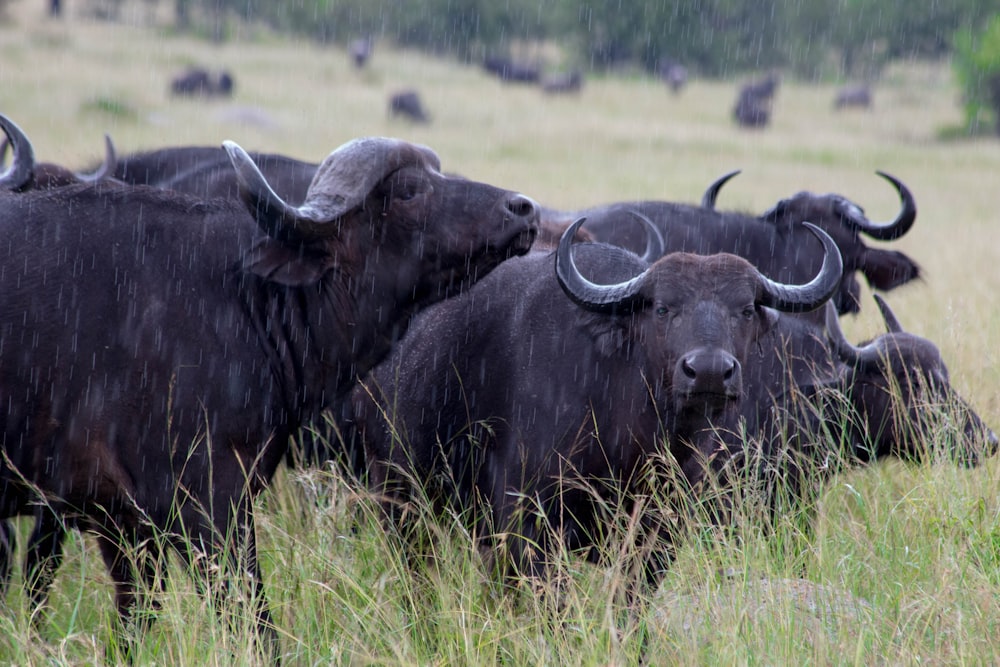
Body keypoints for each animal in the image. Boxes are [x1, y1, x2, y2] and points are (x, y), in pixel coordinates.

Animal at [0, 133, 540, 656]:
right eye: (407, 191)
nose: (523, 208)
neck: (245, 298)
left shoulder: (123, 525)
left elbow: (135, 624)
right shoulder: (206, 506)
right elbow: (253, 620)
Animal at [348, 218, 840, 588]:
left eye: (746, 309)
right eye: (662, 308)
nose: (708, 371)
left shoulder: (659, 532)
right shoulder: (529, 520)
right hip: (398, 496)